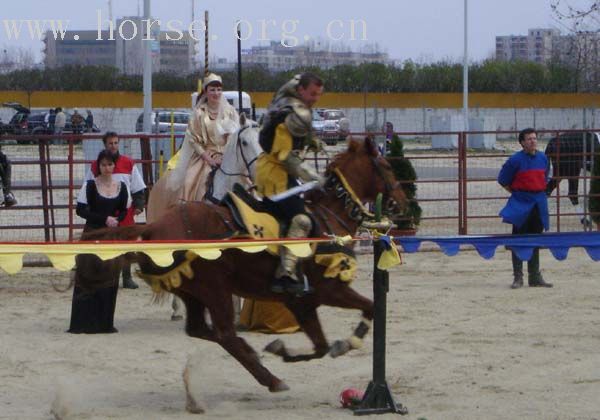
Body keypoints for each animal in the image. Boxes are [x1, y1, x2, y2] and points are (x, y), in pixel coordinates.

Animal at [83, 137, 408, 410]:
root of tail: (152, 228)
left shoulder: (302, 302)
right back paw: (270, 377)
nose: (403, 204)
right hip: (215, 289)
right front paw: (346, 342)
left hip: (194, 292)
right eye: (386, 166)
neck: (328, 218)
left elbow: (321, 345)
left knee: (201, 329)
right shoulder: (329, 290)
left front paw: (286, 349)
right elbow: (369, 309)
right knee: (224, 333)